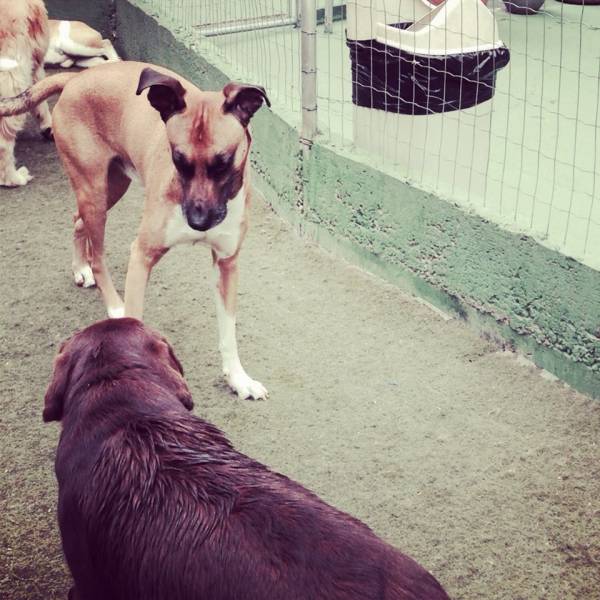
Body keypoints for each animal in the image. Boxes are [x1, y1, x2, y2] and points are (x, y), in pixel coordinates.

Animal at [0, 59, 270, 398]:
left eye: (223, 162)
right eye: (177, 159)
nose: (197, 222)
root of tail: (76, 78)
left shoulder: (227, 264)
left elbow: (228, 332)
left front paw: (238, 378)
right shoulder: (142, 255)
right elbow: (135, 320)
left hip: (111, 188)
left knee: (77, 221)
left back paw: (80, 268)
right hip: (94, 193)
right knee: (98, 255)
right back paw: (113, 301)